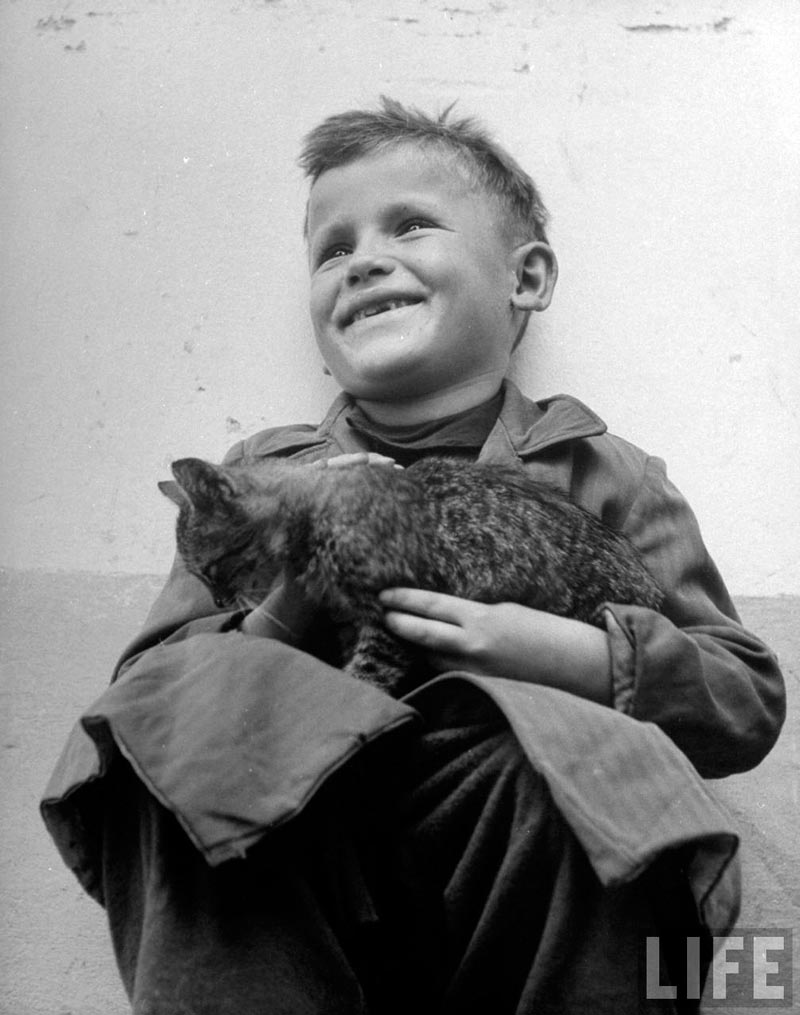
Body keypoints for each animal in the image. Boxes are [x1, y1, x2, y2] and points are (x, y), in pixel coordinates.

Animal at [161, 454, 661, 698]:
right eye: (200, 580)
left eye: (212, 570)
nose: (219, 603)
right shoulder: (352, 618)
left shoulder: (388, 614)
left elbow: (366, 674)